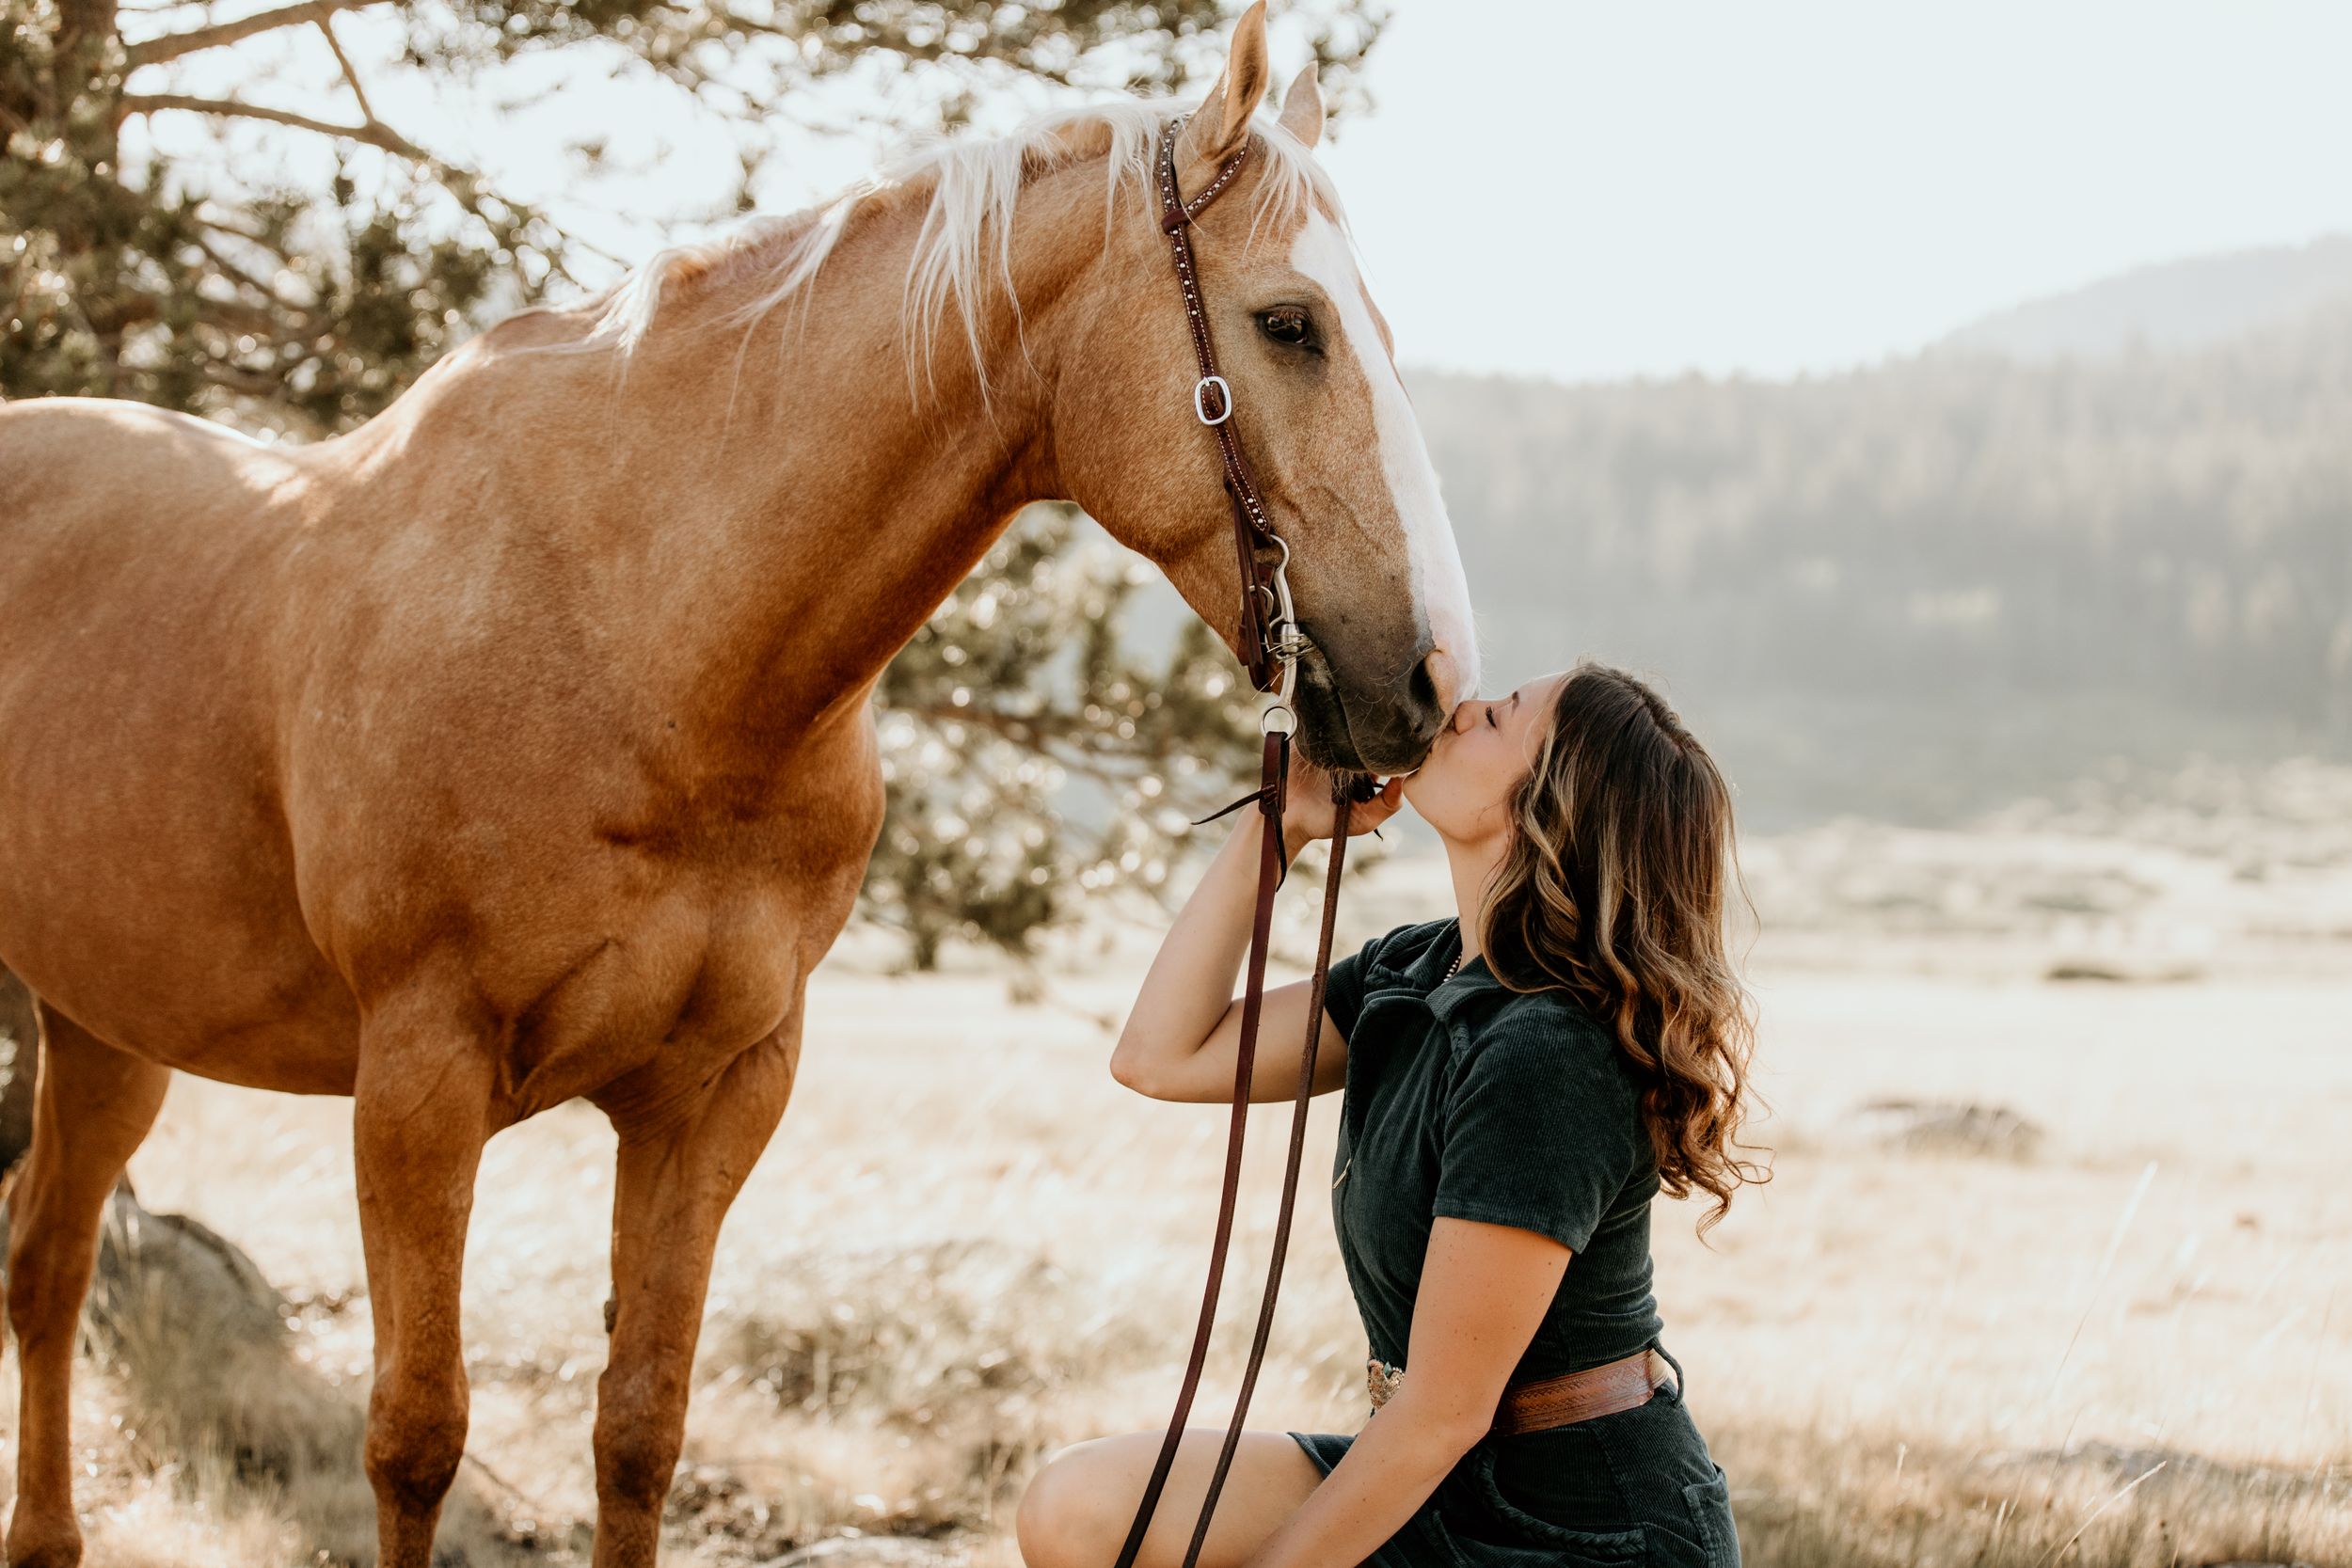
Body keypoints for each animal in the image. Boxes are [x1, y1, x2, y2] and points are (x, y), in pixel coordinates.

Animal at [0, 5, 1480, 1562]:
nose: (1428, 682)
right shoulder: (418, 1077)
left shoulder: (717, 1090)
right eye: (1290, 324)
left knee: (47, 1261)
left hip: (104, 1023)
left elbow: (641, 1424)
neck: (639, 642)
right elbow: (415, 1434)